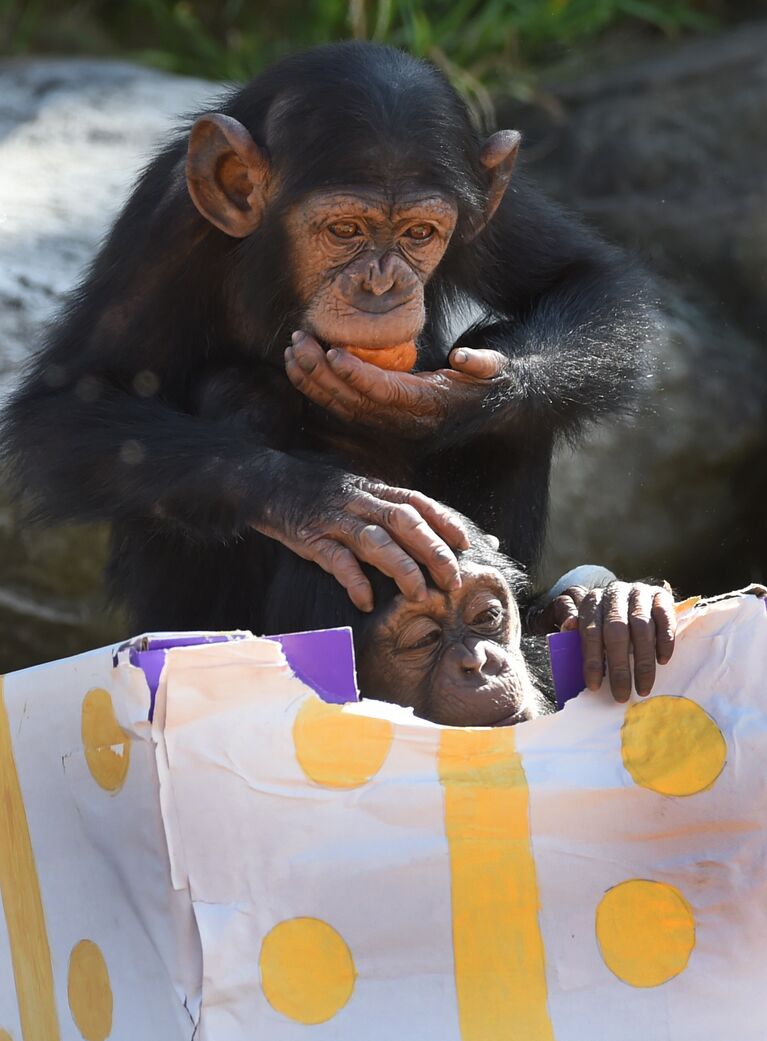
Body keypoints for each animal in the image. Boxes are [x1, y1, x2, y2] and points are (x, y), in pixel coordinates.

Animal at [2, 40, 653, 632]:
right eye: (345, 230)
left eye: (420, 232)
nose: (382, 283)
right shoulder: (168, 223)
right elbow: (69, 404)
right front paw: (325, 500)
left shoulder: (493, 201)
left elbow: (585, 277)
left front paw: (449, 403)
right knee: (239, 394)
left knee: (521, 411)